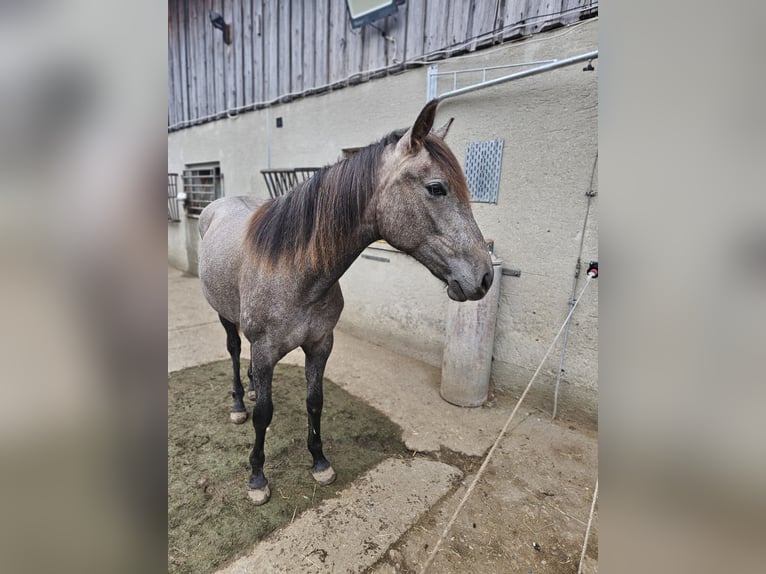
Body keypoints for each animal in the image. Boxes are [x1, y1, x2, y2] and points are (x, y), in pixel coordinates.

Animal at [200, 101, 492, 506]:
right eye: (437, 188)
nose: (485, 277)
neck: (296, 272)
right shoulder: (265, 348)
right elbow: (264, 415)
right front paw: (257, 478)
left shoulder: (321, 344)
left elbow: (315, 401)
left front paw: (320, 462)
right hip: (224, 316)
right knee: (232, 351)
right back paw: (239, 404)